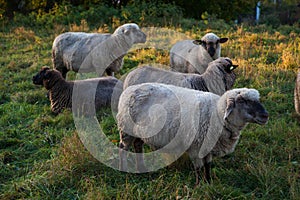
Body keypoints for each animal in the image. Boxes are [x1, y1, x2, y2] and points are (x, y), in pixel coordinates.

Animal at [116, 82, 268, 184]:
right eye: (242, 100)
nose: (265, 115)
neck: (217, 115)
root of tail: (129, 89)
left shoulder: (208, 147)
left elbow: (208, 166)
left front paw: (208, 182)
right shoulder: (196, 147)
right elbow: (198, 168)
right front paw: (198, 185)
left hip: (139, 132)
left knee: (137, 145)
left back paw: (141, 167)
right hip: (126, 129)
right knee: (123, 148)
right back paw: (123, 169)